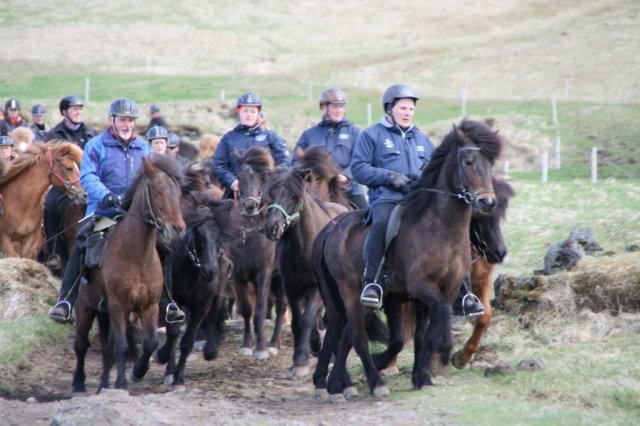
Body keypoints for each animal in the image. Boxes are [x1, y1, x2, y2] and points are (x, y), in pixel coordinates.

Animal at [74, 156, 188, 392]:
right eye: (159, 192)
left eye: (178, 193)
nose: (178, 229)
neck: (136, 256)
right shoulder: (118, 305)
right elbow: (121, 346)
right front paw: (121, 383)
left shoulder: (150, 306)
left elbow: (150, 342)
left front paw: (138, 371)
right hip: (85, 306)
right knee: (81, 344)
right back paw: (79, 383)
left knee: (106, 348)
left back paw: (103, 385)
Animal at [262, 166, 348, 376]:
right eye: (271, 193)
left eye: (294, 196)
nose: (272, 227)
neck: (304, 247)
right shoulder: (291, 287)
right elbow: (296, 321)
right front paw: (298, 358)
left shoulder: (317, 287)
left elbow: (307, 318)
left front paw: (302, 361)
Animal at [312, 118, 502, 398]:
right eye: (468, 161)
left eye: (489, 164)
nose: (487, 202)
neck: (439, 228)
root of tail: (333, 228)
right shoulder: (420, 286)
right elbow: (440, 319)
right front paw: (445, 350)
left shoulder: (444, 289)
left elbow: (425, 334)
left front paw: (422, 377)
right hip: (349, 291)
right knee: (355, 335)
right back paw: (373, 383)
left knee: (342, 334)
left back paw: (334, 383)